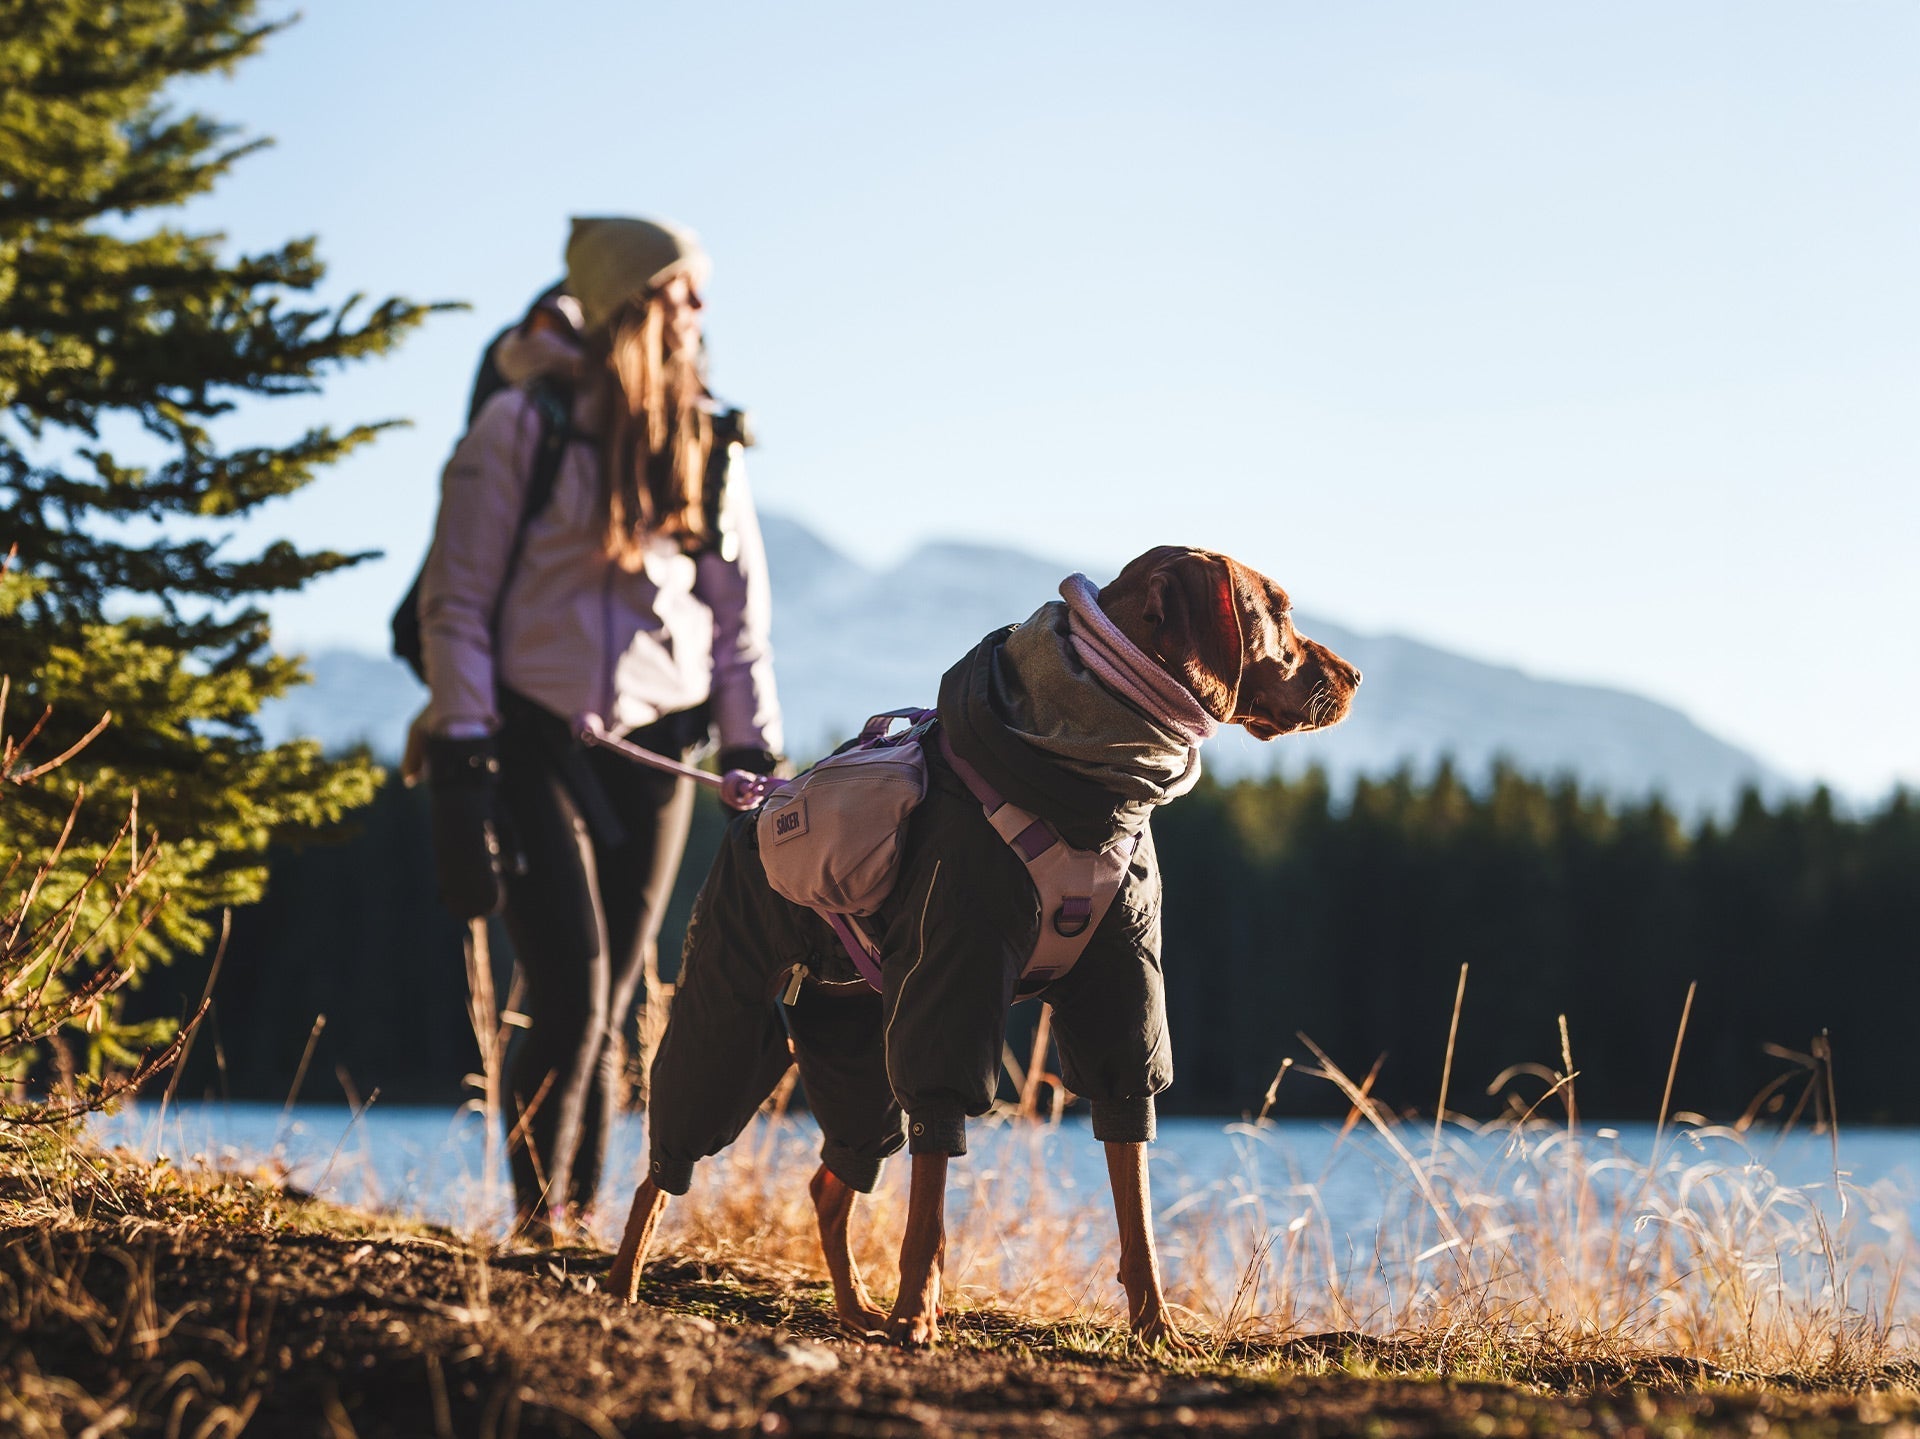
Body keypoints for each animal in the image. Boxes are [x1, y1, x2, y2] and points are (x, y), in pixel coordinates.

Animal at [606, 545, 1359, 1344]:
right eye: (1278, 608)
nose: (1354, 676)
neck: (1090, 776)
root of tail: (761, 802)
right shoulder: (954, 977)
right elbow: (932, 1191)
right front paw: (916, 1314)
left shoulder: (1122, 986)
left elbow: (1135, 1197)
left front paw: (1156, 1324)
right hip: (732, 1002)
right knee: (666, 1158)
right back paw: (623, 1282)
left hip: (857, 1037)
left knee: (830, 1179)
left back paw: (854, 1308)